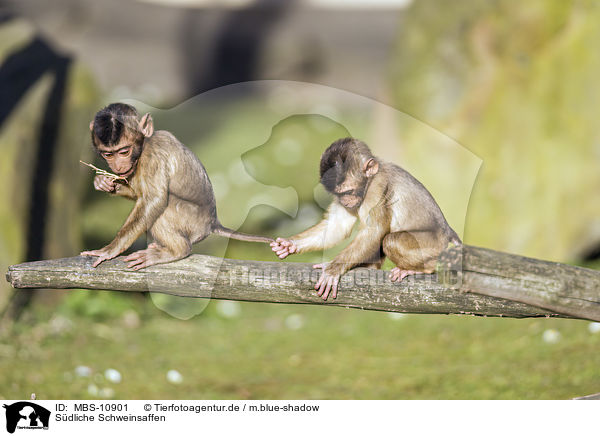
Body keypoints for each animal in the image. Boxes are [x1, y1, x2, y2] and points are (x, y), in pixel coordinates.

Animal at [81, 104, 272, 270]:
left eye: (123, 152)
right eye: (108, 154)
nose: (118, 166)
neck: (144, 145)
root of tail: (213, 222)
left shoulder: (153, 156)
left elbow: (154, 200)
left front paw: (110, 249)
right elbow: (139, 193)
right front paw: (103, 183)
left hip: (194, 223)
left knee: (164, 207)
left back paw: (177, 250)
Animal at [270, 138, 462, 302]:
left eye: (348, 191)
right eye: (339, 194)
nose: (346, 201)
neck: (370, 179)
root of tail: (447, 233)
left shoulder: (377, 186)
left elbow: (375, 230)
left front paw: (333, 269)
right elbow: (337, 227)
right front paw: (289, 245)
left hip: (434, 246)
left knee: (390, 240)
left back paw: (422, 269)